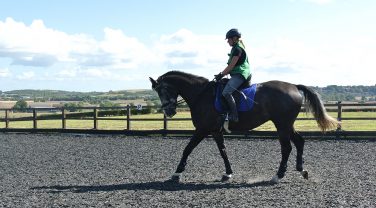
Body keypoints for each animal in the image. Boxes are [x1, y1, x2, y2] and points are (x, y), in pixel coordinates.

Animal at [148, 70, 336, 183]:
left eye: (163, 90)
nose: (169, 112)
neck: (201, 94)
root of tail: (294, 87)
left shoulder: (202, 130)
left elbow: (187, 149)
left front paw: (177, 173)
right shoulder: (215, 131)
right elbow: (223, 151)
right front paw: (228, 173)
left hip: (282, 124)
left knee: (286, 147)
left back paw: (278, 175)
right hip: (286, 124)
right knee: (299, 142)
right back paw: (301, 170)